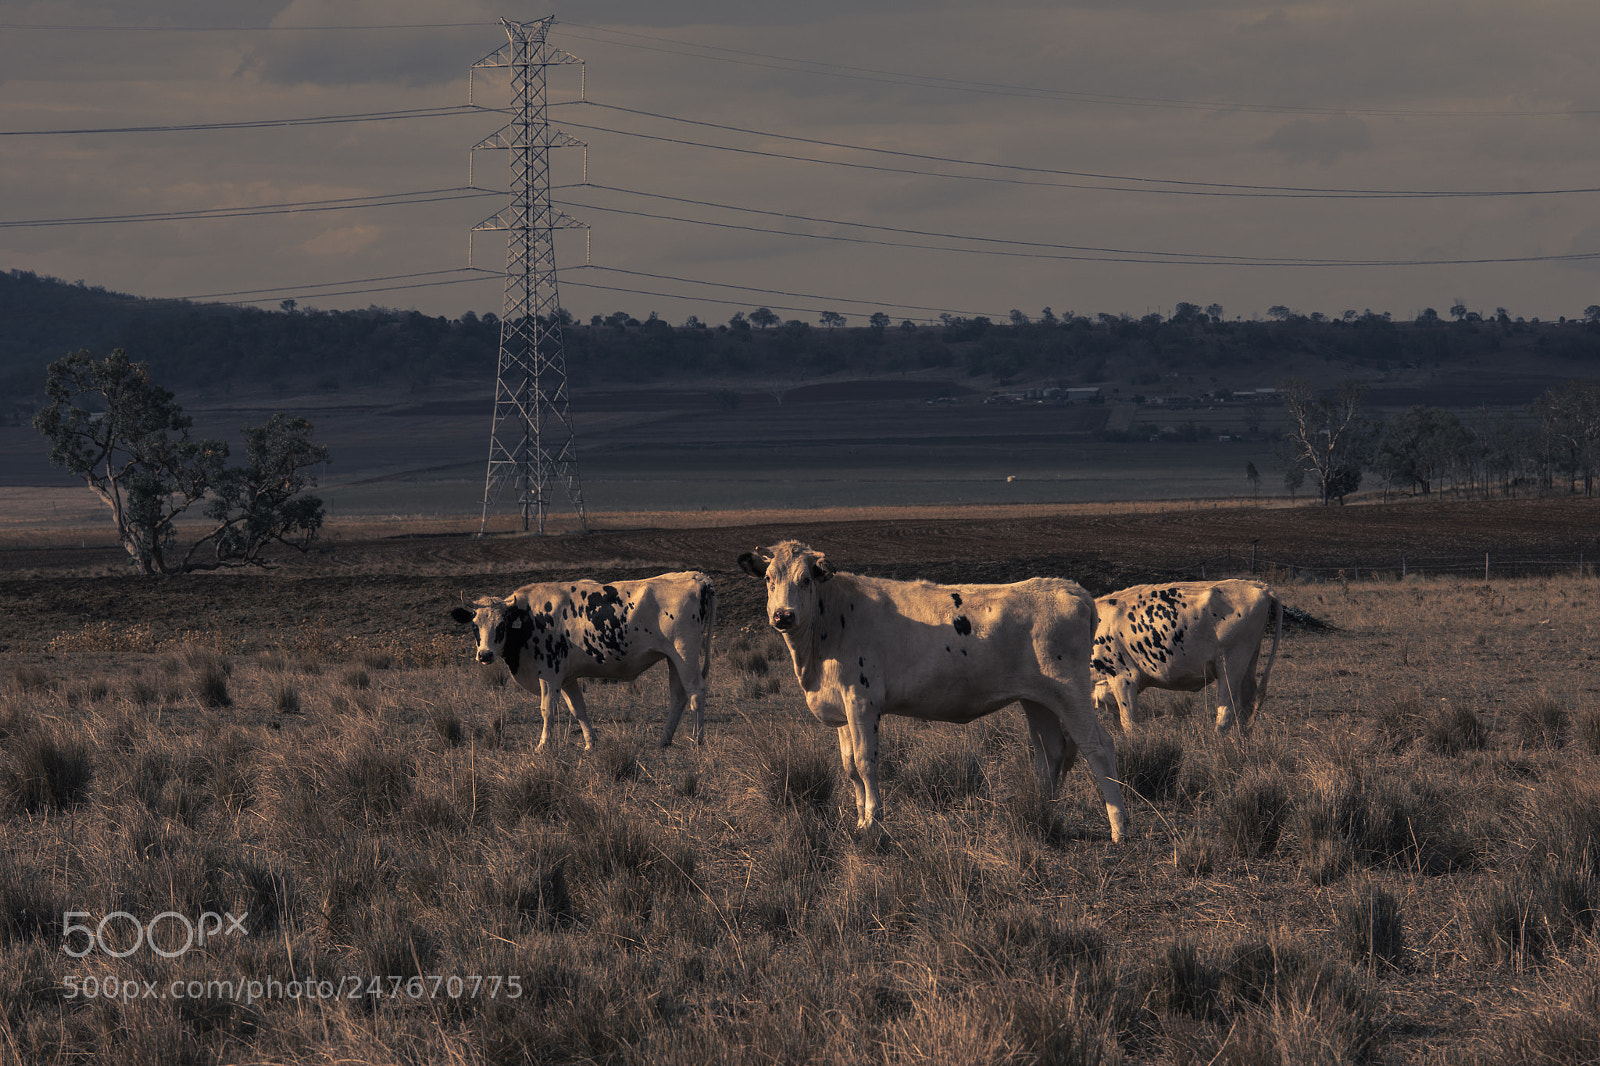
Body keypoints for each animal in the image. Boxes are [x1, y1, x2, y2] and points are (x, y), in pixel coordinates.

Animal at [449, 572, 716, 749]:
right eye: (474, 625)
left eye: (502, 625)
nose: (485, 655)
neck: (529, 619)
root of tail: (697, 577)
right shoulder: (567, 678)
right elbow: (578, 709)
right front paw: (590, 742)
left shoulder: (549, 674)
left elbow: (548, 710)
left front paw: (543, 745)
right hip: (673, 658)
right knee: (678, 696)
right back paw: (664, 740)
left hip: (685, 654)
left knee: (696, 692)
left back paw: (697, 739)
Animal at [737, 541, 1127, 843]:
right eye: (769, 580)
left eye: (805, 580)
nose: (782, 615)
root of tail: (1069, 588)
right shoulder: (842, 710)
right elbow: (849, 767)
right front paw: (860, 820)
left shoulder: (862, 701)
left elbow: (865, 762)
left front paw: (873, 822)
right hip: (1037, 699)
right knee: (1051, 752)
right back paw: (1043, 813)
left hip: (1071, 691)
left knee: (1098, 746)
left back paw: (1119, 827)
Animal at [1090, 579, 1282, 735]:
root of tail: (1259, 586)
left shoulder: (1124, 676)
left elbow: (1128, 723)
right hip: (1249, 661)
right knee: (1247, 706)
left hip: (1231, 662)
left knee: (1228, 709)